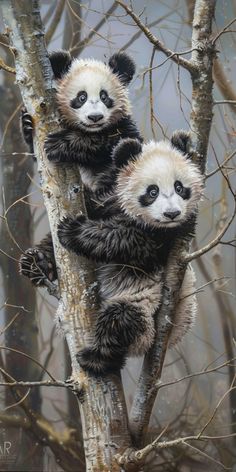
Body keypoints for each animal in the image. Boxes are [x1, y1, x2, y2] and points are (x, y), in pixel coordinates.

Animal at [20, 48, 141, 284]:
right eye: (81, 97)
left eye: (105, 96)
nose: (95, 117)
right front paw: (27, 124)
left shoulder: (123, 130)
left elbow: (109, 144)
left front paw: (63, 143)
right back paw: (37, 263)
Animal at [57, 134, 203, 376]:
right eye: (152, 191)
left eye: (180, 187)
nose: (172, 214)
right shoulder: (110, 197)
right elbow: (96, 200)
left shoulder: (169, 238)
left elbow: (127, 241)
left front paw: (72, 231)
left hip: (143, 310)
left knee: (119, 321)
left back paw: (95, 358)